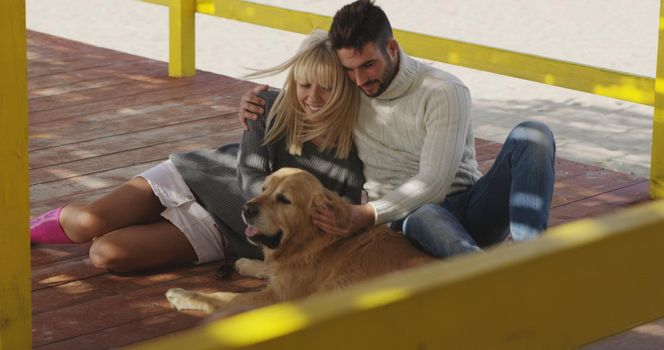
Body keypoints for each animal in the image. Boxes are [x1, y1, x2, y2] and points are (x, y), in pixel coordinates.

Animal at [166, 168, 436, 314]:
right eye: (263, 188)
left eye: (284, 199)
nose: (246, 209)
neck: (312, 240)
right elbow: (268, 268)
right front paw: (247, 263)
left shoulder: (277, 298)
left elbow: (224, 297)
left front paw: (184, 295)